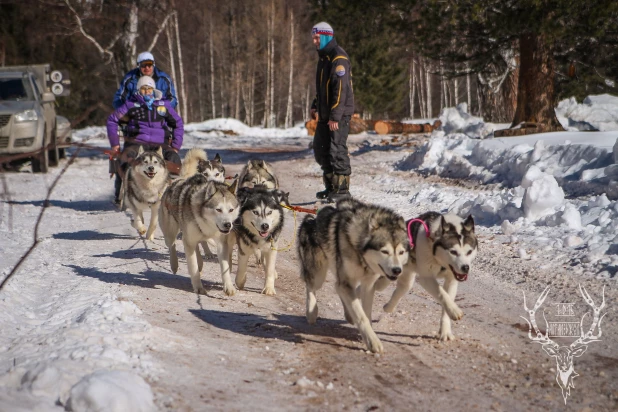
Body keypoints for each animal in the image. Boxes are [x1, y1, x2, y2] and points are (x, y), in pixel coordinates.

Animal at [298, 198, 410, 352]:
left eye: (401, 252)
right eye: (385, 251)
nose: (397, 270)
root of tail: (312, 218)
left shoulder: (367, 285)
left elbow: (365, 312)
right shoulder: (346, 282)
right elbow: (361, 315)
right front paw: (373, 342)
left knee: (337, 289)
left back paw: (347, 314)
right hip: (319, 275)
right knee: (311, 287)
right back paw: (311, 312)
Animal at [376, 212, 476, 342]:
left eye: (469, 251)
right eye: (453, 252)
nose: (465, 267)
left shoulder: (451, 280)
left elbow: (447, 298)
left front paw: (445, 331)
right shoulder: (426, 278)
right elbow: (442, 294)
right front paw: (455, 311)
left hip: (407, 276)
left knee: (401, 289)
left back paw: (388, 306)